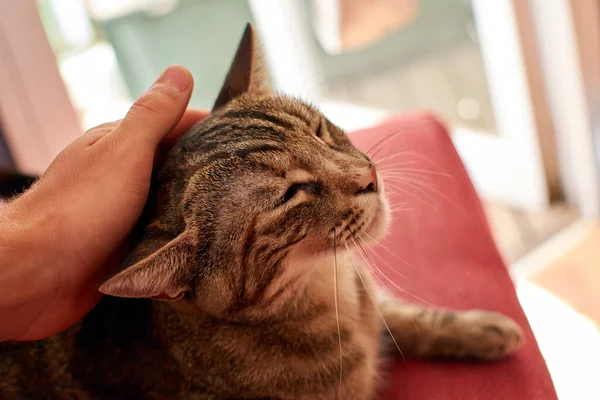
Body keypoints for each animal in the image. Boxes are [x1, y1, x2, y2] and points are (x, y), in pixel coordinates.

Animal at [0, 23, 520, 398]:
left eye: (319, 129)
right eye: (290, 195)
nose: (368, 177)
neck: (329, 290)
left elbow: (410, 319)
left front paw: (479, 329)